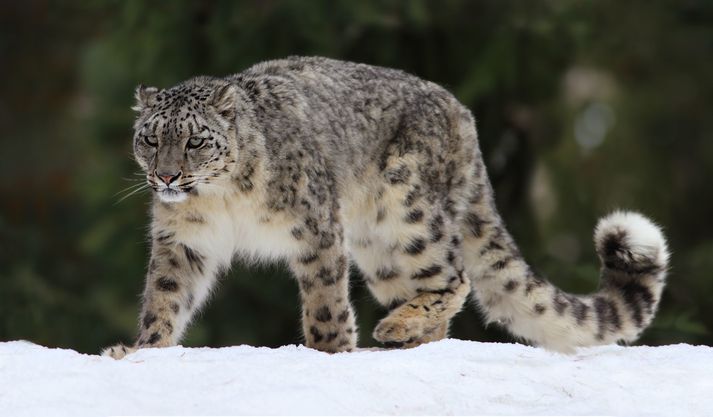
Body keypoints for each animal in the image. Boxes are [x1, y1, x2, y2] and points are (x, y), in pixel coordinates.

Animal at [100, 57, 668, 360]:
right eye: (149, 139)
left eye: (195, 141)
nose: (166, 176)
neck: (219, 201)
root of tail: (463, 115)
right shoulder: (183, 241)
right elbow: (165, 298)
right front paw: (142, 350)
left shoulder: (316, 228)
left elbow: (325, 299)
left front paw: (330, 352)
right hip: (379, 247)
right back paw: (408, 338)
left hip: (406, 209)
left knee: (456, 276)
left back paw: (395, 328)